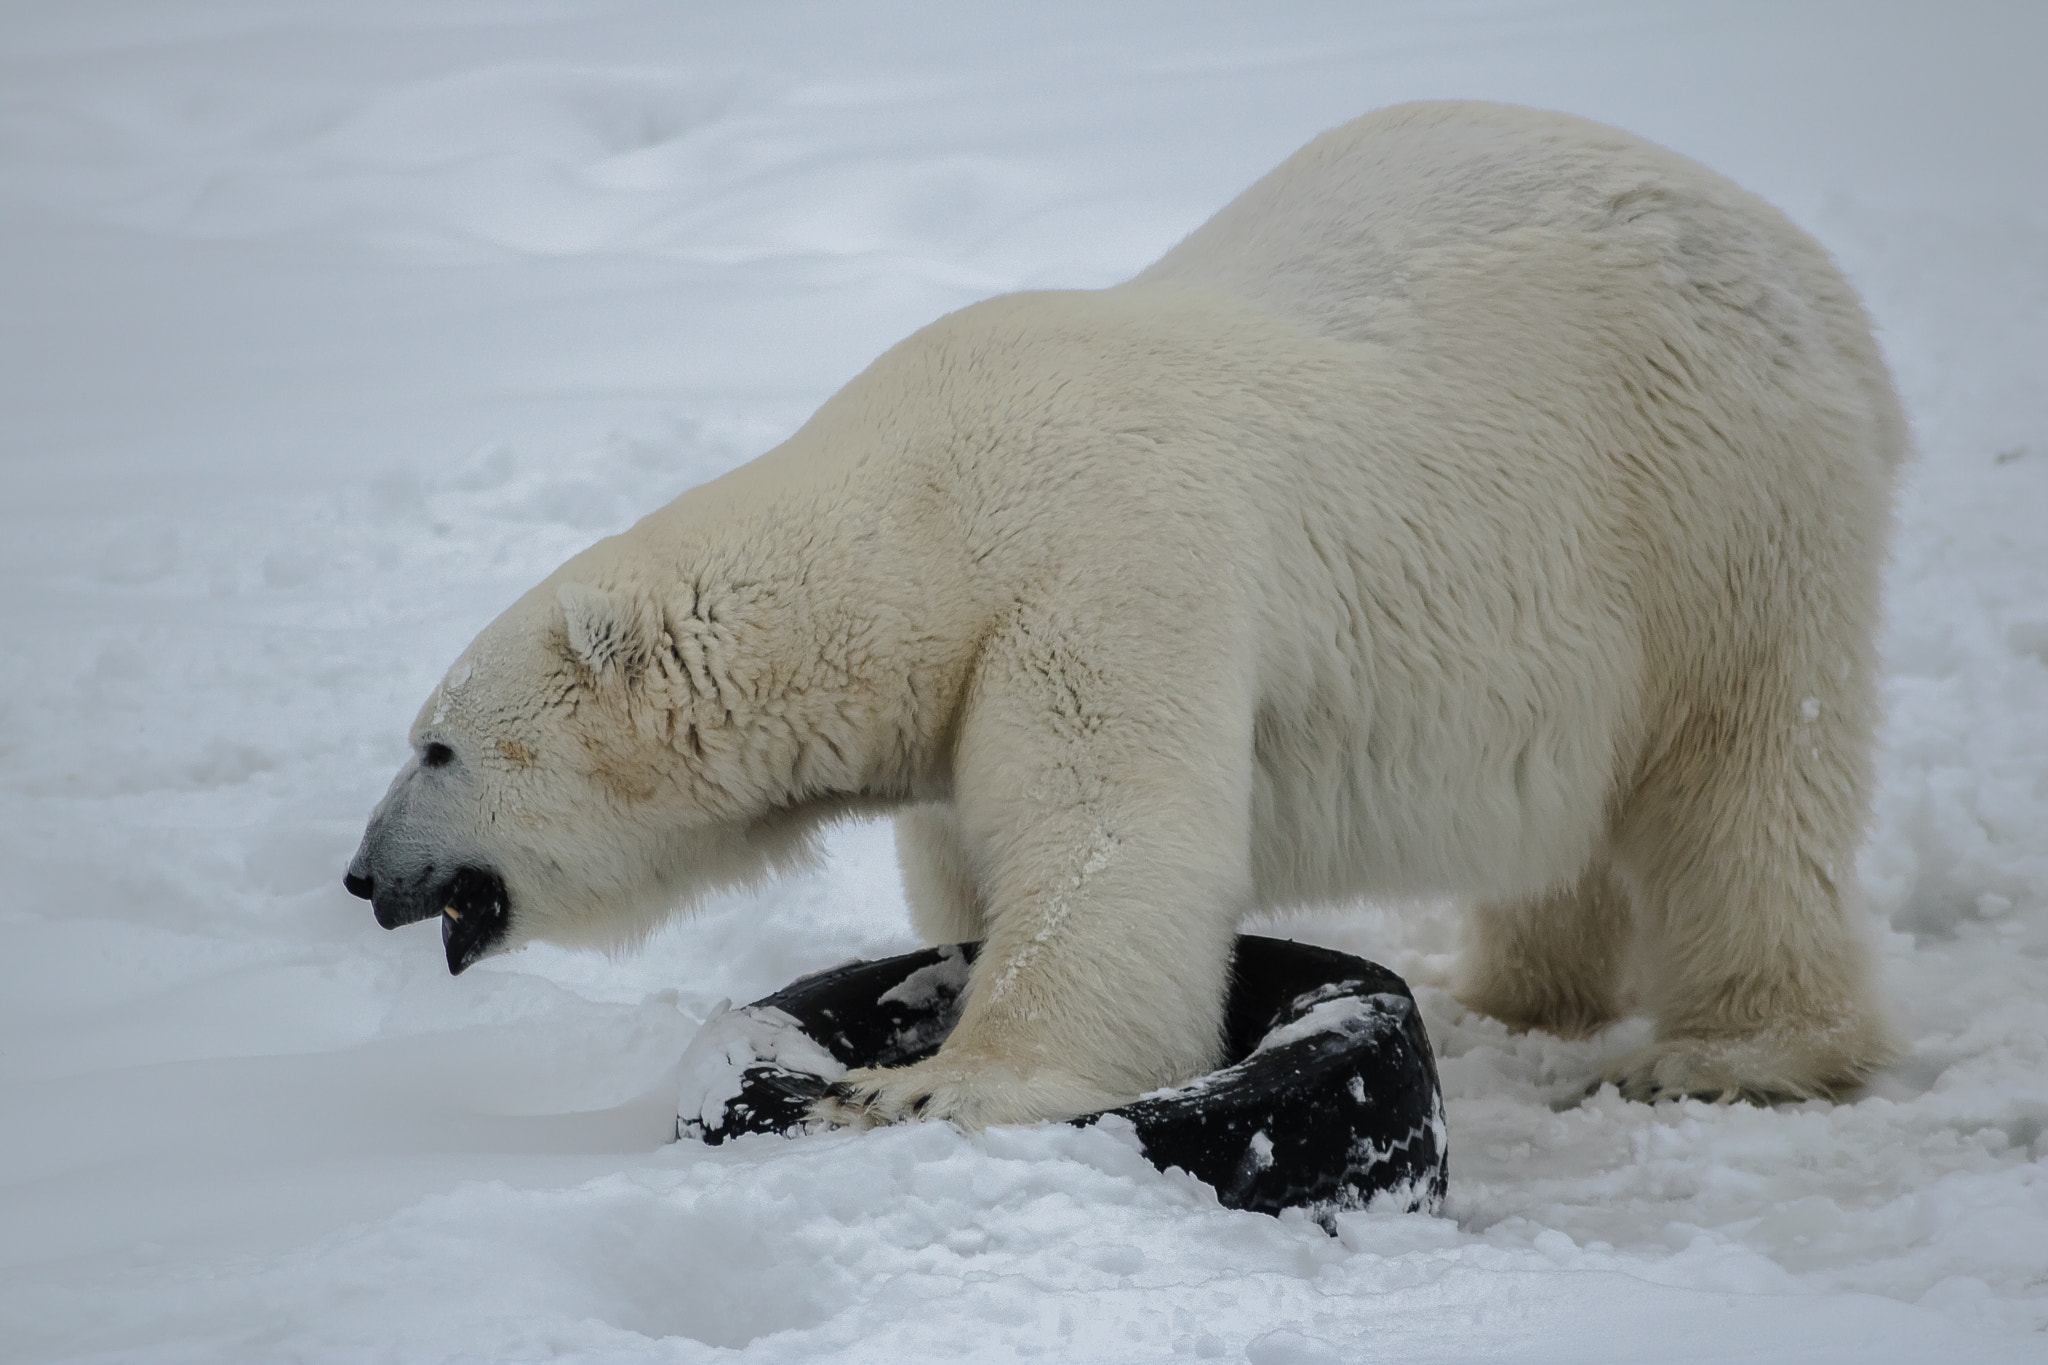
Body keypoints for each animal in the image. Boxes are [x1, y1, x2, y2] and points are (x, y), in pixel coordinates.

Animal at [345, 101, 1906, 1126]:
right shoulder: (961, 687)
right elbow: (969, 865)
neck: (930, 510)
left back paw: (1735, 1051)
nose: (364, 876)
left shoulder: (1100, 569)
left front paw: (935, 1085)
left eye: (436, 748)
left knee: (1741, 773)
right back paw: (1521, 986)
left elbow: (1106, 840)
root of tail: (1818, 281)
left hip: (1710, 497)